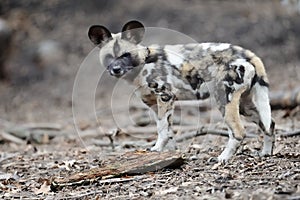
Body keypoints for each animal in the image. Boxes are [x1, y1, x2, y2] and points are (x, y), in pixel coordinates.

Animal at [88, 20, 276, 162]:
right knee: (269, 124)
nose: (116, 69)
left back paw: (223, 158)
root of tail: (245, 53)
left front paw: (157, 149)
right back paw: (266, 153)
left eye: (126, 55)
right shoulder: (155, 105)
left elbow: (162, 130)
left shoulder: (165, 97)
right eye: (109, 57)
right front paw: (171, 154)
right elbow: (167, 131)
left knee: (238, 132)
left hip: (224, 100)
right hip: (245, 106)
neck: (143, 64)